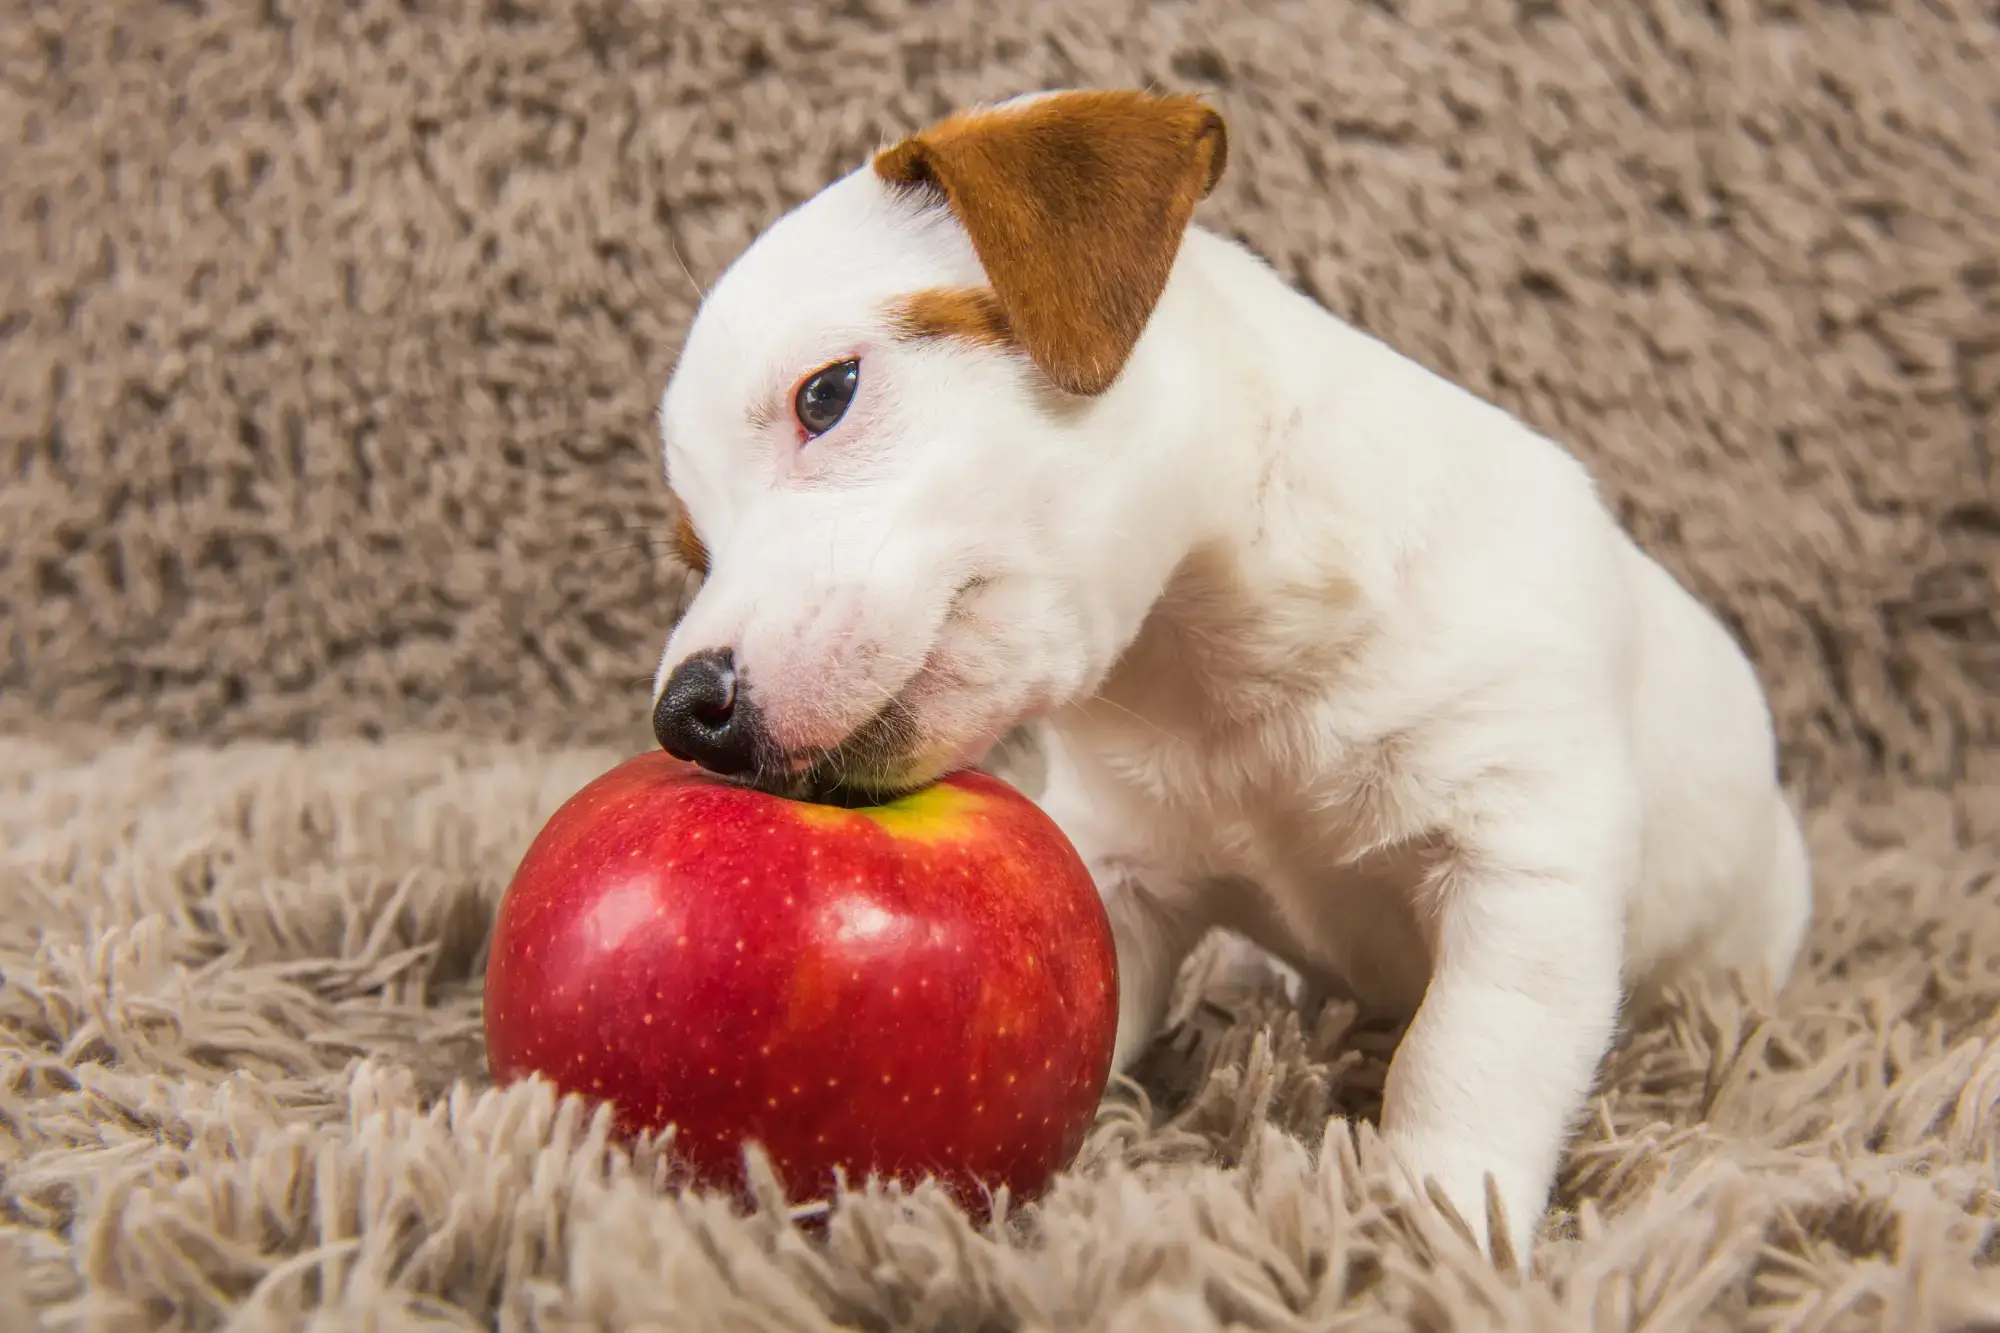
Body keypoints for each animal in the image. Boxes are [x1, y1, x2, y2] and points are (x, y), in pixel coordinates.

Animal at [644, 91, 1816, 1256]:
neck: (1214, 659)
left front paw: (1432, 1225)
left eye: (827, 393)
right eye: (695, 552)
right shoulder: (1117, 880)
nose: (686, 712)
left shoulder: (1523, 862)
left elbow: (1464, 1055)